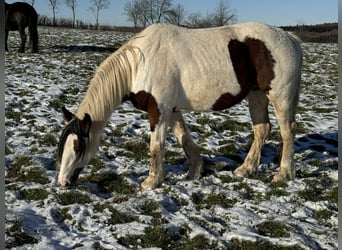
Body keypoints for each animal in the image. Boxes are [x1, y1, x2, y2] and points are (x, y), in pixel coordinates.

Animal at [56, 22, 302, 191]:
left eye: (77, 146)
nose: (62, 182)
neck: (139, 63)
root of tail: (289, 37)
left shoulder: (159, 110)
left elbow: (156, 147)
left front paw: (151, 181)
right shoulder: (171, 110)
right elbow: (184, 138)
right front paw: (194, 171)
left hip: (279, 96)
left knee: (287, 132)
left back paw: (283, 174)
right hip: (256, 94)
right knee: (262, 129)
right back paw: (246, 169)